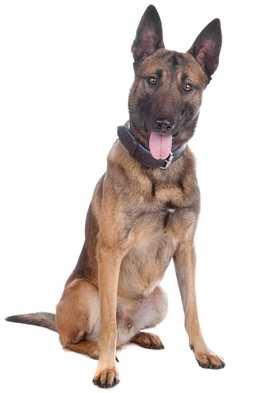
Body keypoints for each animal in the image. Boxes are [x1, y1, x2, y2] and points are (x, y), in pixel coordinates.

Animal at [7, 4, 224, 388]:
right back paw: (99, 351)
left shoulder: (186, 250)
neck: (159, 171)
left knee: (126, 333)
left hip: (160, 297)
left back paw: (144, 336)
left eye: (188, 86)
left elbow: (193, 310)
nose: (164, 123)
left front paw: (202, 352)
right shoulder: (111, 251)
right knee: (79, 338)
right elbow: (106, 321)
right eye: (152, 80)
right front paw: (106, 367)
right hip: (84, 292)